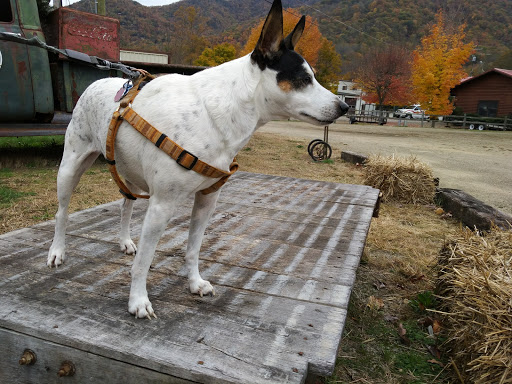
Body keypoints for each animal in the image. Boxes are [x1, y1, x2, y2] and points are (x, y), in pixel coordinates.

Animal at [47, 0, 348, 318]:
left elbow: (193, 249)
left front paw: (194, 282)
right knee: (62, 213)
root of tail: (98, 82)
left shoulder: (207, 200)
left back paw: (125, 241)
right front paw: (138, 300)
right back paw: (57, 251)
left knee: (125, 205)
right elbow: (144, 261)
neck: (216, 111)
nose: (345, 107)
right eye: (304, 80)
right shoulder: (161, 205)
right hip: (71, 167)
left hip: (130, 172)